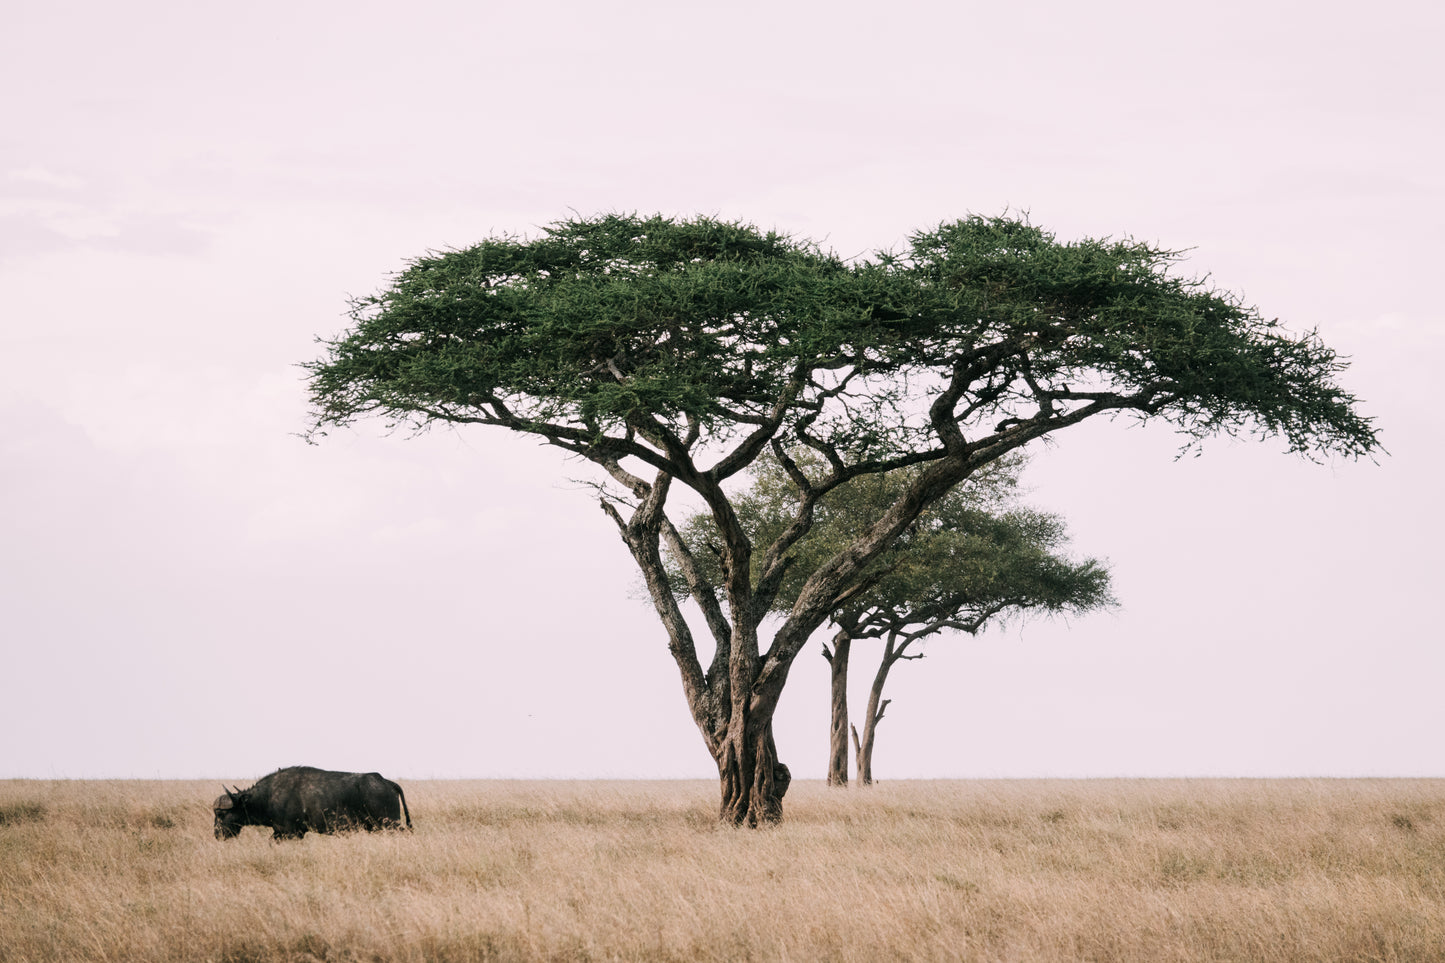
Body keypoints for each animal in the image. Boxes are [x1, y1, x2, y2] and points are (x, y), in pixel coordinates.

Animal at [212, 763, 413, 838]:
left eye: (221, 814)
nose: (217, 834)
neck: (268, 796)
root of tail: (385, 782)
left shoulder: (289, 833)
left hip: (389, 824)